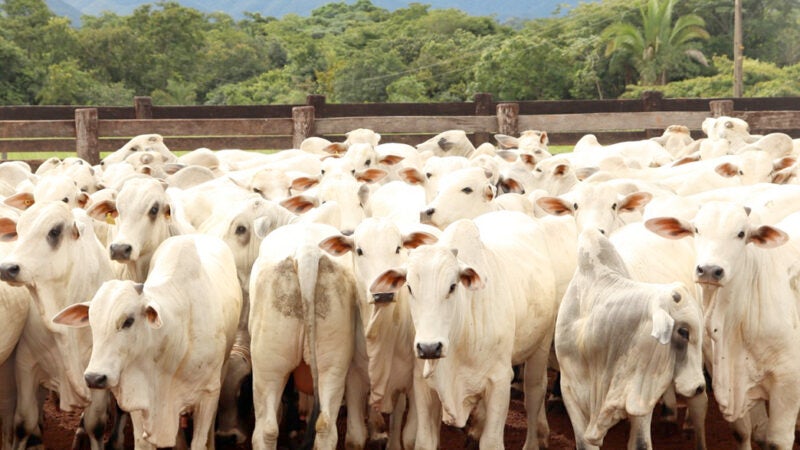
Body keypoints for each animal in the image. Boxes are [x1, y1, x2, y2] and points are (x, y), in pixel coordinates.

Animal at [53, 234, 242, 450]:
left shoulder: (208, 394)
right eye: (92, 321)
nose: (94, 378)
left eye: (128, 321)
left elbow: (199, 440)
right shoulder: (139, 398)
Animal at [370, 211, 558, 449]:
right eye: (410, 287)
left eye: (452, 286)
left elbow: (492, 442)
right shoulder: (423, 383)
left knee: (534, 392)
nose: (429, 347)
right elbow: (424, 440)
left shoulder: (499, 382)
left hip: (541, 344)